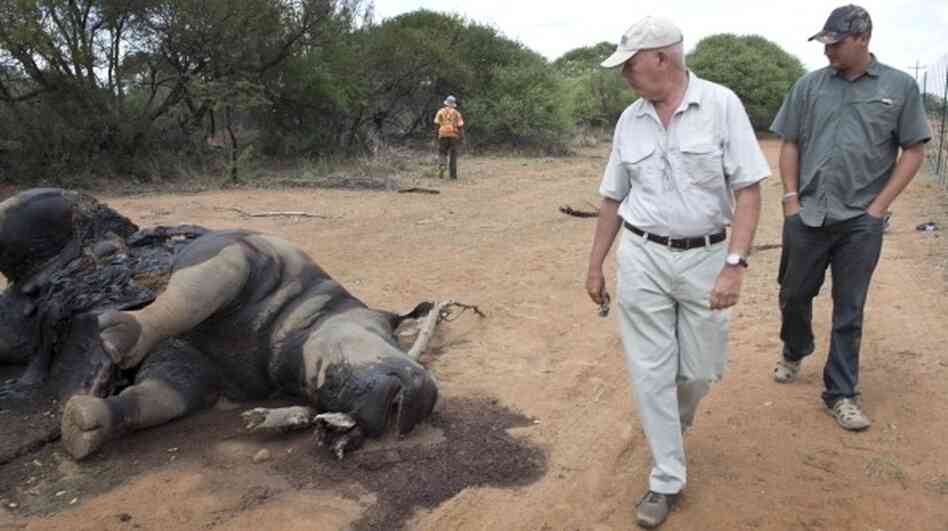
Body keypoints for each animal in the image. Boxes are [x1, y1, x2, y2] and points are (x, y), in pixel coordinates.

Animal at [0, 188, 439, 460]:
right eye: (391, 344)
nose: (423, 400)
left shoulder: (198, 369)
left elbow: (155, 399)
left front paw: (83, 425)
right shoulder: (237, 250)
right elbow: (190, 296)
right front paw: (117, 336)